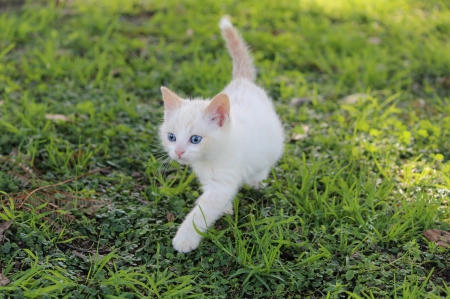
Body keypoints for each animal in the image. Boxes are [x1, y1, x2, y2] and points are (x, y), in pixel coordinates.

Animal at [160, 17, 284, 253]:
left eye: (195, 139)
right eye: (171, 137)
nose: (178, 152)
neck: (208, 159)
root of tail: (242, 81)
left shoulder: (222, 183)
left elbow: (202, 211)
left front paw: (185, 238)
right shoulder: (210, 180)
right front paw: (225, 208)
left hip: (273, 144)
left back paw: (256, 180)